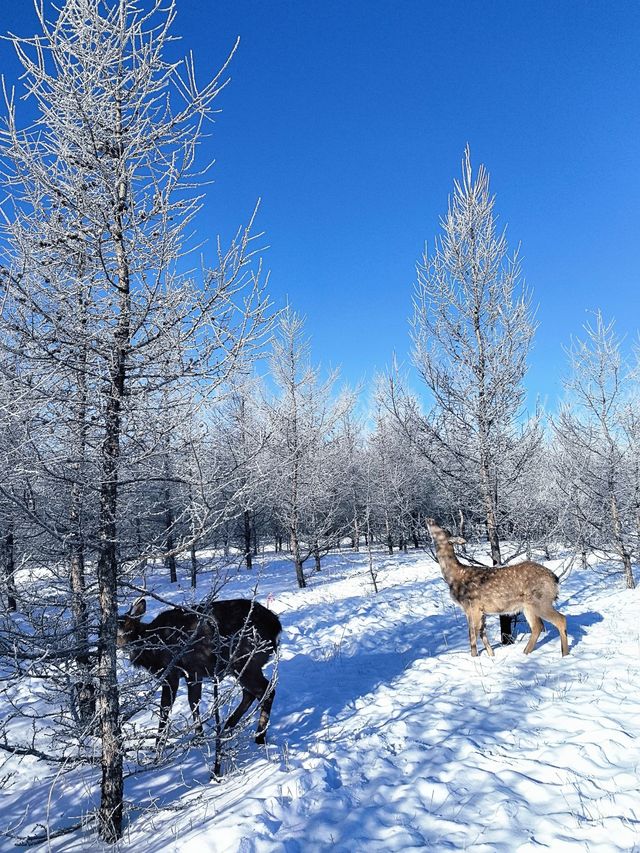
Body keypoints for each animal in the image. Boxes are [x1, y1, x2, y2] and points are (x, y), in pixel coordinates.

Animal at [118, 596, 282, 744]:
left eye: (126, 630)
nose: (121, 645)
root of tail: (276, 627)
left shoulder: (171, 672)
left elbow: (165, 707)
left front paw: (158, 744)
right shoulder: (193, 672)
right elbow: (193, 701)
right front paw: (199, 738)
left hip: (245, 661)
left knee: (266, 691)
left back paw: (259, 737)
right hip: (244, 666)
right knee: (250, 693)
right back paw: (227, 728)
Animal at [424, 516, 568, 656]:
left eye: (441, 530)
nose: (430, 519)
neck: (455, 577)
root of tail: (555, 578)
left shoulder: (472, 605)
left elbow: (472, 633)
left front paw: (474, 657)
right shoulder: (480, 610)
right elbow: (482, 632)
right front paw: (491, 655)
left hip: (541, 600)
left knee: (560, 619)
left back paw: (564, 654)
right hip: (528, 605)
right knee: (537, 627)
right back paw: (526, 653)